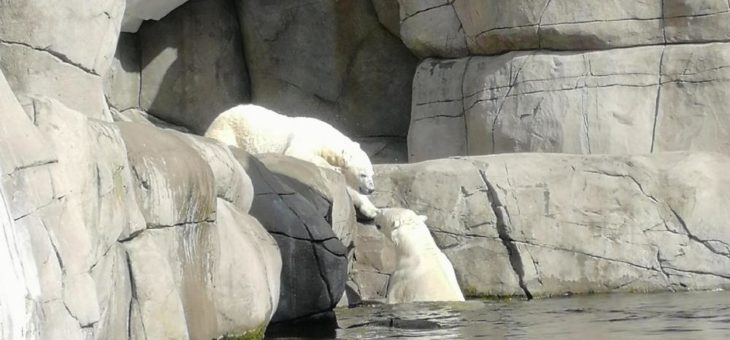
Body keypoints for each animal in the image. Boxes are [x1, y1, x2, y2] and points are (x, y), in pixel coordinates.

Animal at [203, 103, 378, 219]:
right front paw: (333, 169)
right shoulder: (306, 138)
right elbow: (297, 152)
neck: (326, 136)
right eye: (363, 174)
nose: (371, 189)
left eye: (372, 174)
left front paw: (373, 210)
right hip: (229, 129)